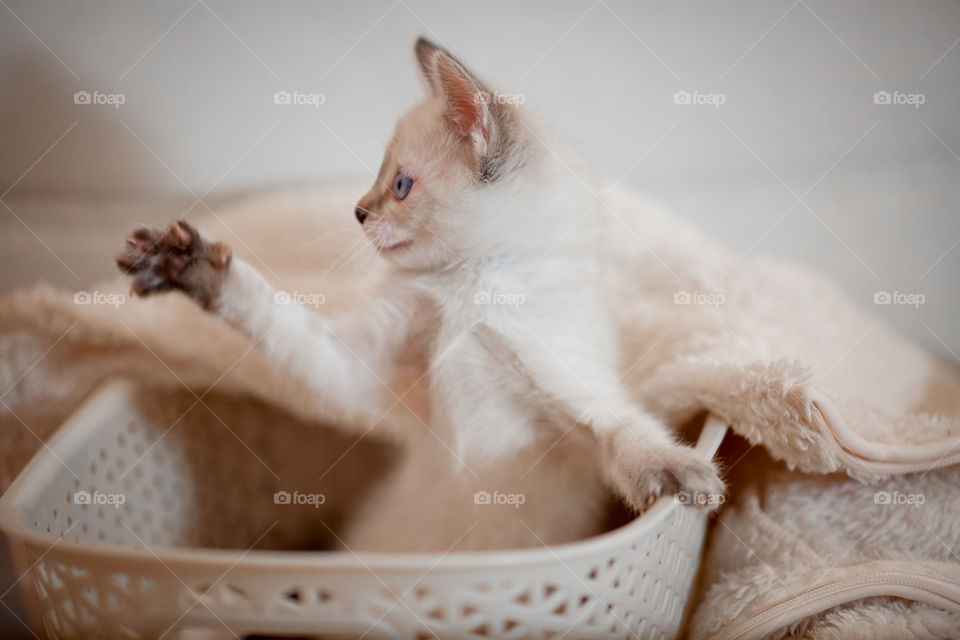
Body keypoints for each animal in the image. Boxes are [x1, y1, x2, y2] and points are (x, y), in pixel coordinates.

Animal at [116, 37, 720, 552]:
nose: (358, 212)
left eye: (401, 186)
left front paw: (677, 473)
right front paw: (190, 266)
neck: (466, 290)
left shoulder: (562, 385)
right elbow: (279, 320)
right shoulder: (359, 366)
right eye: (380, 181)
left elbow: (618, 425)